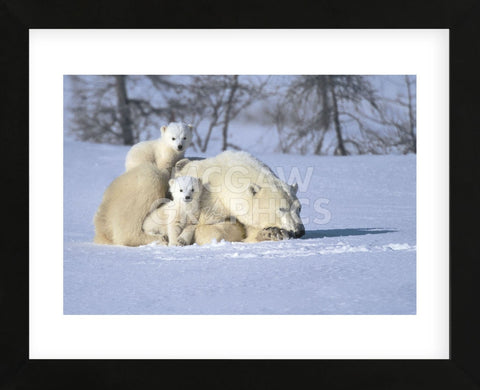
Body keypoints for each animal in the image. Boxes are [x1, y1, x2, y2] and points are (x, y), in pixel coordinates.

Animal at [175, 150, 304, 244]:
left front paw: (272, 233)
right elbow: (209, 228)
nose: (299, 231)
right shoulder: (211, 203)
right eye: (281, 208)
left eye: (299, 208)